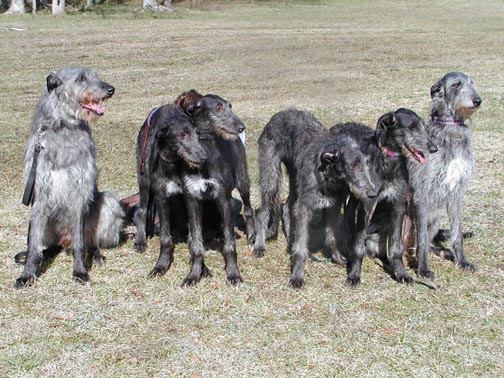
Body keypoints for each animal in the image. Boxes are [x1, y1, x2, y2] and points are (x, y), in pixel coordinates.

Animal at [14, 65, 125, 290]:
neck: (62, 126)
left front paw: (80, 271)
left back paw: (96, 254)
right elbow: (32, 244)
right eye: (81, 78)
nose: (111, 89)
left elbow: (80, 242)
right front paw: (27, 274)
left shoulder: (78, 193)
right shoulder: (39, 194)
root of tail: (64, 241)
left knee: (89, 241)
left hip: (108, 203)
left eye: (96, 75)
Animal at [134, 102, 209, 278]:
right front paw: (161, 264)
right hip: (144, 178)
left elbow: (195, 234)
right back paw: (140, 241)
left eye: (198, 135)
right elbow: (165, 238)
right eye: (183, 135)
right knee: (141, 210)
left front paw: (200, 266)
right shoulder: (161, 197)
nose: (204, 158)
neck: (173, 163)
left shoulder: (191, 198)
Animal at [178, 91, 256, 286]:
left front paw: (233, 273)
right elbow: (196, 242)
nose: (241, 127)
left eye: (230, 106)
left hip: (243, 181)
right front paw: (194, 273)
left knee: (248, 209)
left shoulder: (223, 198)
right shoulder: (192, 200)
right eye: (218, 107)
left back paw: (252, 237)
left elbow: (230, 244)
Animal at [252, 110, 378, 288]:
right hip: (271, 174)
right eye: (354, 164)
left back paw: (290, 241)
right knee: (263, 210)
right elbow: (301, 247)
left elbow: (332, 236)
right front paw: (297, 277)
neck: (328, 175)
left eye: (368, 163)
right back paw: (260, 245)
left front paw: (338, 258)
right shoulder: (305, 207)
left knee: (287, 206)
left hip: (295, 176)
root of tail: (280, 114)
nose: (373, 193)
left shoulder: (333, 205)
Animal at [336, 108, 440, 286]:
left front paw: (401, 273)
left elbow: (395, 245)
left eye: (423, 125)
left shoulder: (398, 204)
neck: (388, 161)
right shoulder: (368, 204)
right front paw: (354, 274)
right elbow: (359, 243)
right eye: (412, 127)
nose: (433, 149)